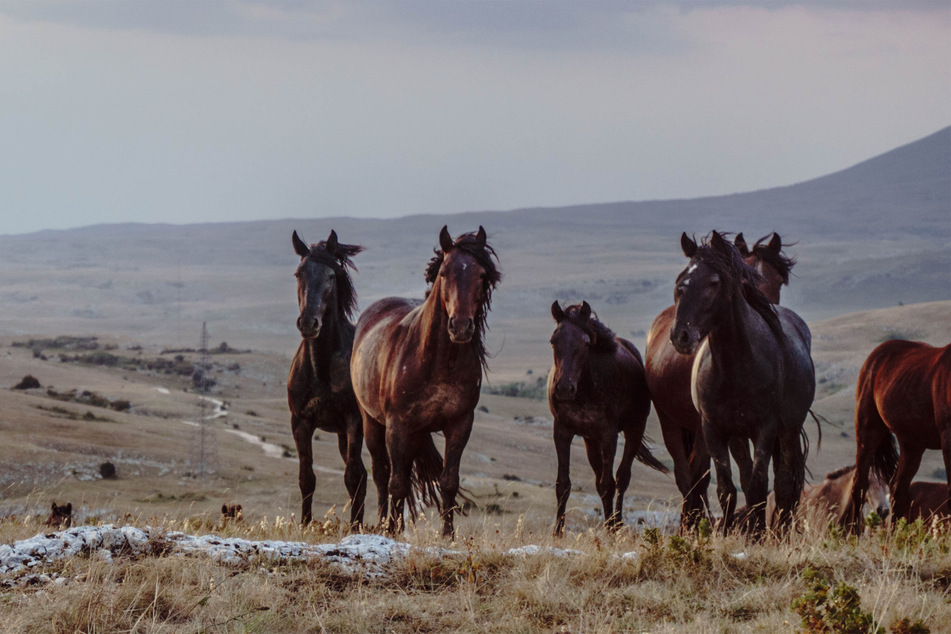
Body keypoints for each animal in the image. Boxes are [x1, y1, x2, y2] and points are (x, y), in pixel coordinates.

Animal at [287, 230, 367, 527]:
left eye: (332, 276)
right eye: (299, 273)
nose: (309, 323)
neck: (321, 369)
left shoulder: (354, 421)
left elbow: (352, 476)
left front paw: (356, 530)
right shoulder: (300, 422)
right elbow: (306, 478)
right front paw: (305, 524)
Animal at [351, 226, 500, 537]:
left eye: (482, 274)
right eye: (443, 272)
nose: (461, 326)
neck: (437, 363)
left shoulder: (460, 424)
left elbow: (449, 480)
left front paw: (448, 534)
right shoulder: (398, 425)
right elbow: (395, 482)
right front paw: (392, 531)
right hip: (372, 422)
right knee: (382, 473)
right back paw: (383, 523)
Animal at [548, 301, 669, 536]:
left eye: (586, 343)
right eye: (553, 341)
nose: (564, 388)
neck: (586, 387)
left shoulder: (608, 436)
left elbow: (608, 484)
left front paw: (611, 530)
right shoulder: (562, 432)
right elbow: (563, 484)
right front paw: (558, 532)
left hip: (633, 430)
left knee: (621, 479)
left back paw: (617, 525)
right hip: (590, 441)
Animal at [846, 340, 951, 531]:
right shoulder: (948, 440)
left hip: (912, 445)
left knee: (897, 489)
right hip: (868, 431)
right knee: (859, 485)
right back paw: (853, 533)